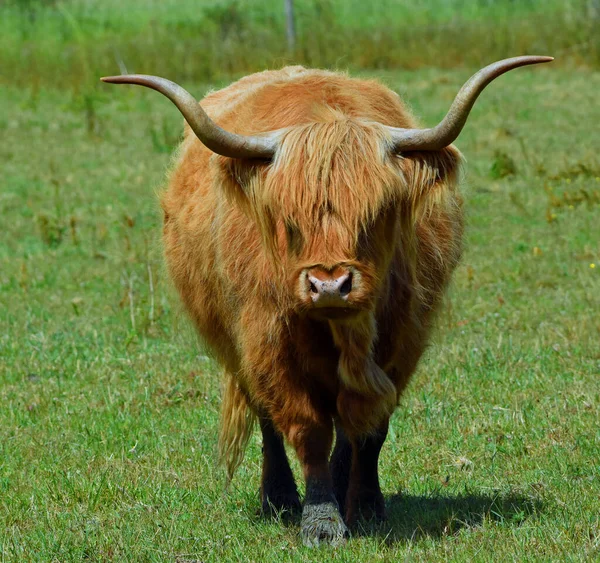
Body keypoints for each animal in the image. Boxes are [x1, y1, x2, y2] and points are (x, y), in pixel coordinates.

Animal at [101, 56, 552, 548]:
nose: (331, 285)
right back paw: (278, 497)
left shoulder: (402, 344)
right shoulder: (268, 347)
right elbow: (309, 430)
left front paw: (367, 505)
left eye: (378, 213)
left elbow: (370, 430)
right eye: (288, 219)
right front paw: (321, 520)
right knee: (269, 421)